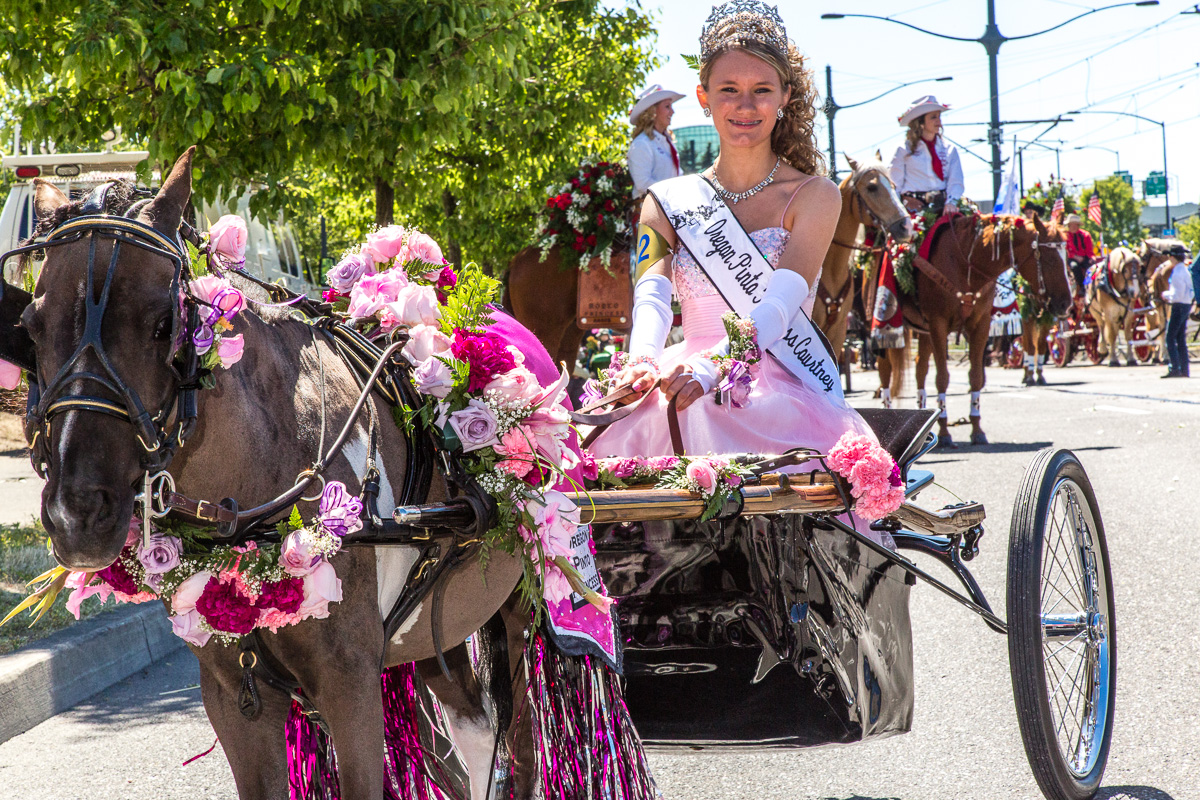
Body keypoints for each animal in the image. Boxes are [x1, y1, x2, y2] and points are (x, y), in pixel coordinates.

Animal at [9, 148, 568, 796]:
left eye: (162, 324)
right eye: (31, 327)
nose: (76, 513)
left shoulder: (350, 686)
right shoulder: (235, 695)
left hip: (520, 613)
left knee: (516, 744)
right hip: (437, 626)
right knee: (470, 730)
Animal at [902, 212, 1075, 448]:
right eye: (1049, 258)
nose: (1066, 303)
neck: (965, 266)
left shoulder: (980, 324)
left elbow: (976, 376)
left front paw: (976, 429)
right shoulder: (938, 324)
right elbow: (942, 378)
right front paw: (945, 431)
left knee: (920, 368)